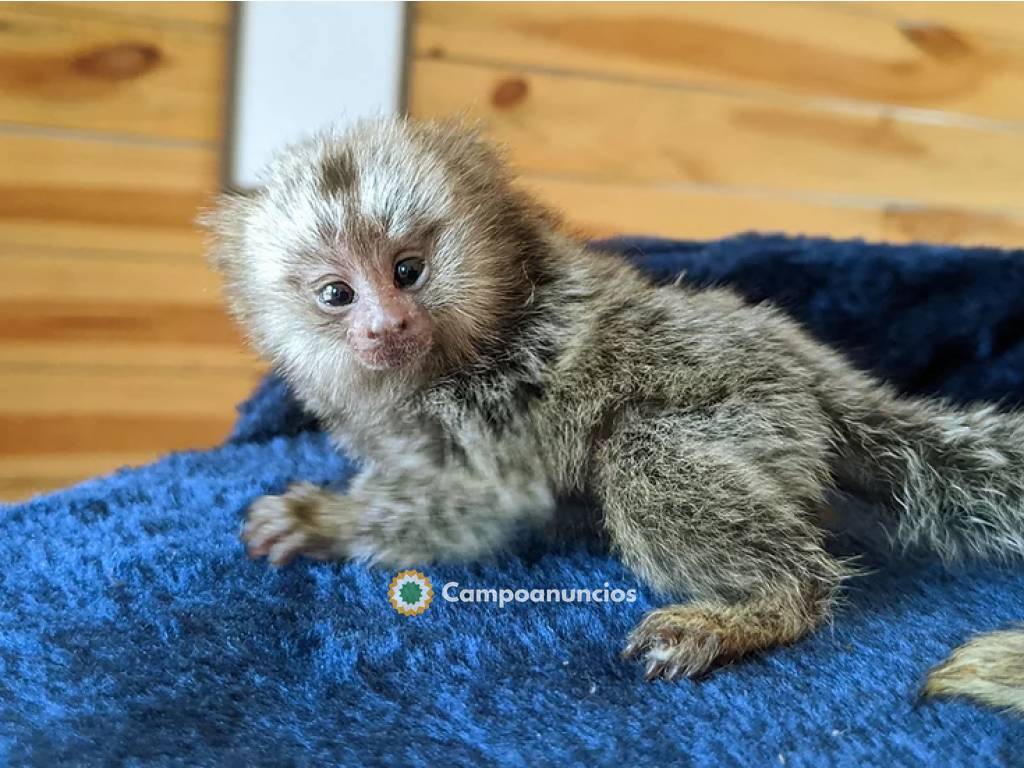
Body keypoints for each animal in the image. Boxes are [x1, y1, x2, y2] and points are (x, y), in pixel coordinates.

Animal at [203, 118, 1024, 716]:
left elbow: (482, 504)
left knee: (640, 455)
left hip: (757, 413)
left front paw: (326, 521)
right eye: (337, 294)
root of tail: (817, 377)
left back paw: (761, 609)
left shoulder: (497, 398)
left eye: (408, 271)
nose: (387, 326)